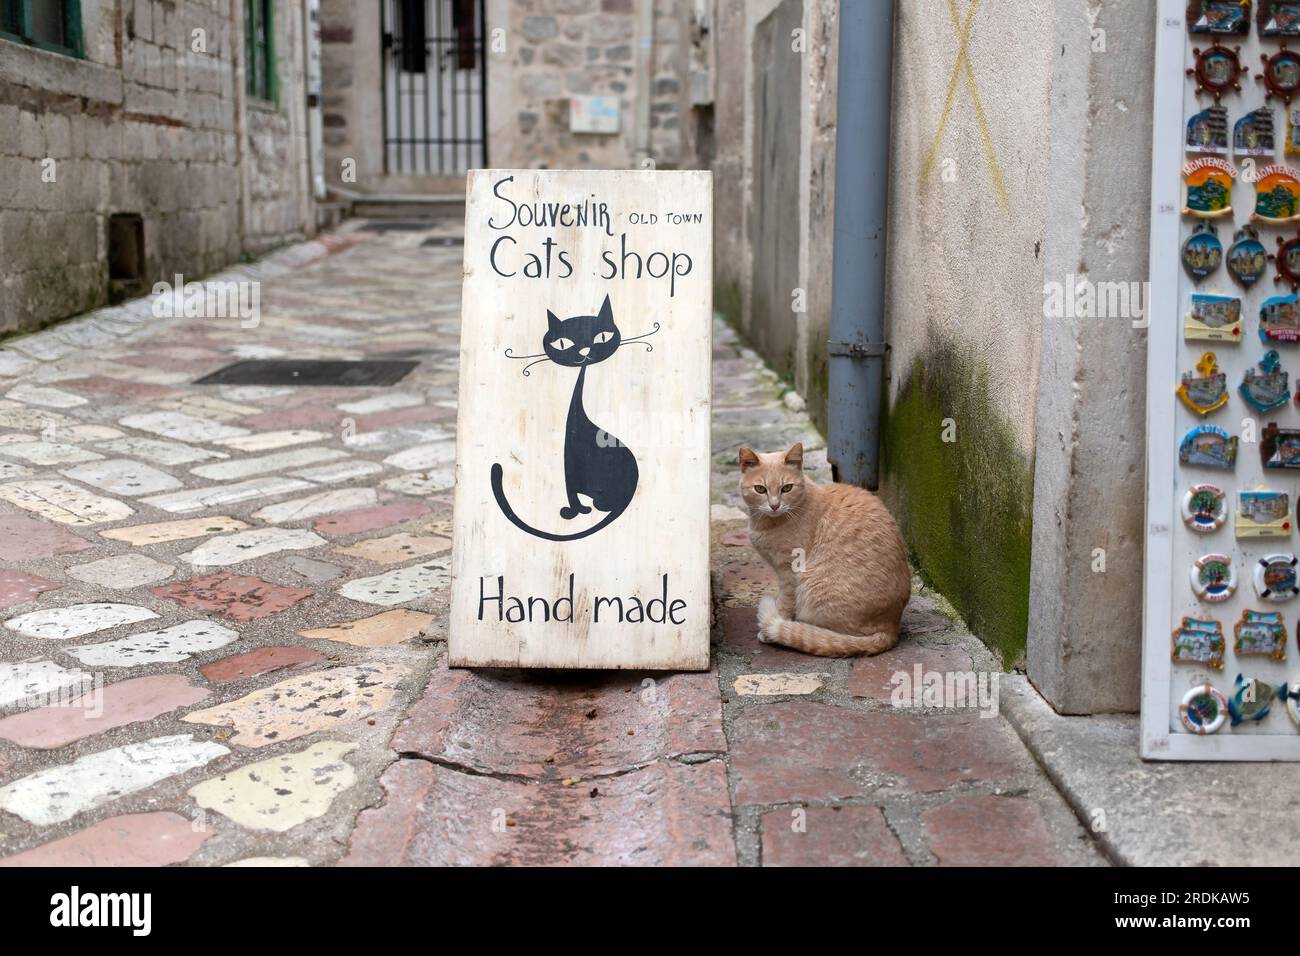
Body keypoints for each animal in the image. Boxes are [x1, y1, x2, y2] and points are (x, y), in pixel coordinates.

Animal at [738, 444, 909, 655]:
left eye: (787, 488)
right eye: (760, 489)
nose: (775, 505)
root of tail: (891, 627)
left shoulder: (789, 572)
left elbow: (784, 603)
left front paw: (773, 625)